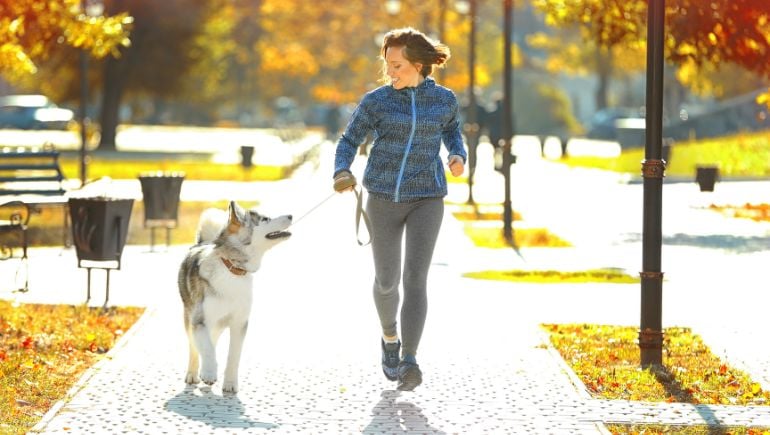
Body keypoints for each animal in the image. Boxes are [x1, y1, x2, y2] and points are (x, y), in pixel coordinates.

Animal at [178, 202, 292, 396]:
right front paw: (209, 372)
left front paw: (230, 384)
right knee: (194, 348)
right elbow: (206, 349)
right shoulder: (200, 321)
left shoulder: (239, 324)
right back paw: (193, 374)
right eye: (265, 219)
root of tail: (202, 243)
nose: (291, 216)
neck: (231, 268)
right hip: (190, 320)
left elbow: (233, 357)